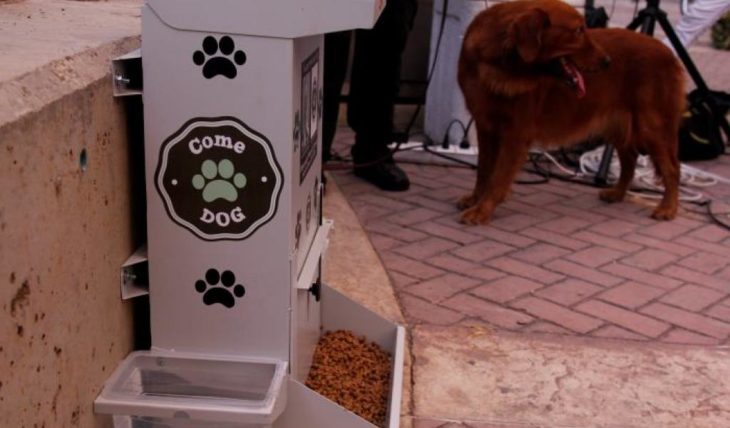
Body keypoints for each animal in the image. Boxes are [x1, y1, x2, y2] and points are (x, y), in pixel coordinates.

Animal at [456, 0, 684, 226]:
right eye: (578, 31)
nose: (607, 61)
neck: (497, 63)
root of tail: (669, 52)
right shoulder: (485, 126)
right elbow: (484, 170)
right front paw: (475, 199)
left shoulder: (515, 134)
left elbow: (497, 178)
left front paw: (482, 210)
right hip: (619, 125)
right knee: (630, 160)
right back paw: (617, 193)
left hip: (652, 125)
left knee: (672, 168)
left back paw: (668, 208)